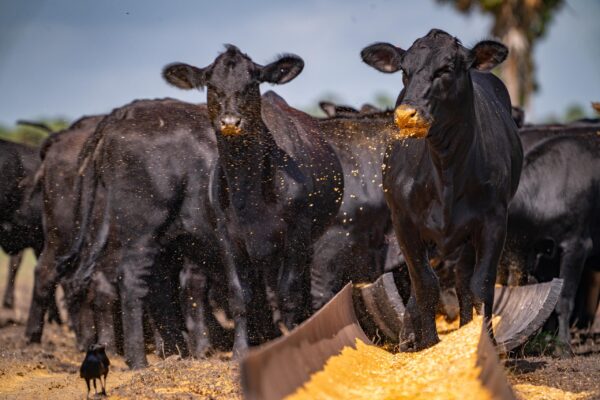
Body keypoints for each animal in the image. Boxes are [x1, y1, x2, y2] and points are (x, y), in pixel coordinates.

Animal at [164, 46, 342, 356]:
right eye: (212, 85)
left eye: (251, 83)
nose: (230, 122)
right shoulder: (227, 237)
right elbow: (240, 295)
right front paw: (241, 349)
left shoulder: (297, 233)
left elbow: (289, 293)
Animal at [360, 28, 524, 346]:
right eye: (404, 70)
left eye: (446, 68)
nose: (406, 115)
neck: (445, 169)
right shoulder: (403, 222)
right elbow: (424, 285)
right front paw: (427, 344)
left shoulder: (494, 220)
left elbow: (481, 285)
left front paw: (484, 343)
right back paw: (409, 336)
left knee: (463, 282)